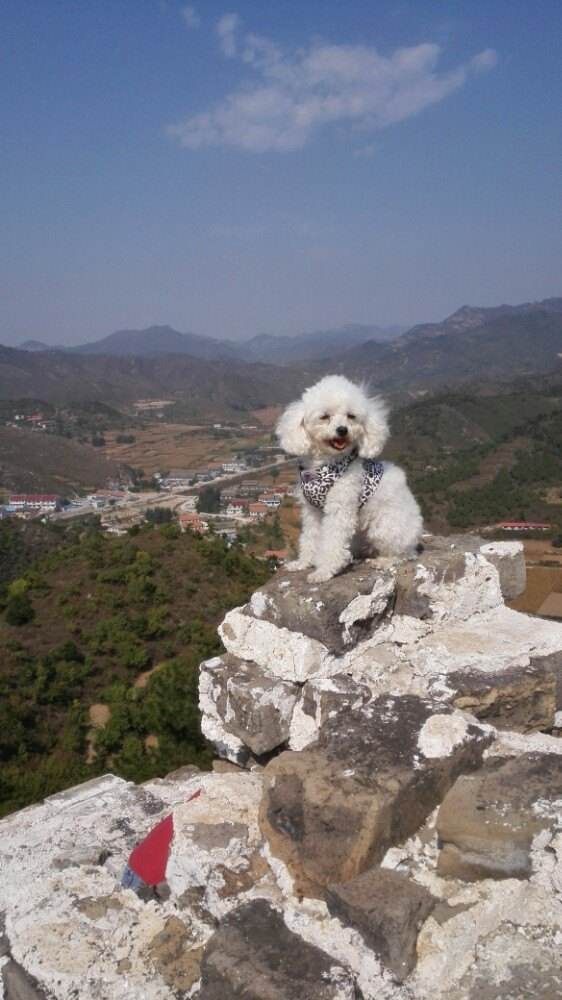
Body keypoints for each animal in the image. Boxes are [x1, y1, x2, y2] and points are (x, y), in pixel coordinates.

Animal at [276, 376, 420, 584]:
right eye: (325, 416)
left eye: (351, 416)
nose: (342, 430)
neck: (324, 464)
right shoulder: (312, 512)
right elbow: (310, 538)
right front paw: (303, 563)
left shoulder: (339, 509)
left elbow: (332, 542)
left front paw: (323, 571)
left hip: (385, 527)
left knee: (404, 553)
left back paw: (384, 561)